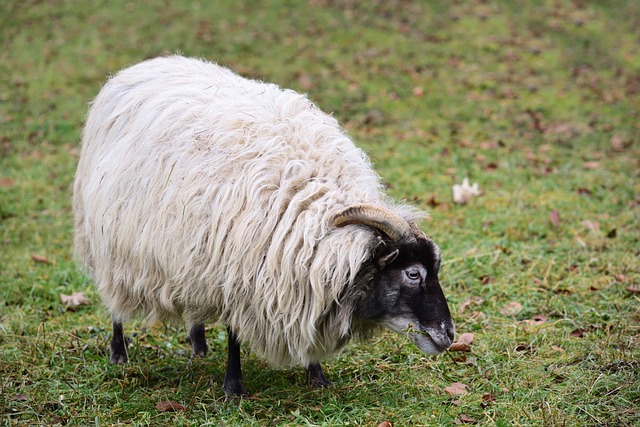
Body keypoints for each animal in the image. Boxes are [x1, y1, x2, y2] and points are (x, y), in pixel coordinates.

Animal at [75, 56, 456, 398]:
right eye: (413, 274)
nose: (450, 335)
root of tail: (143, 65)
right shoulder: (238, 271)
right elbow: (233, 332)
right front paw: (234, 388)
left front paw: (316, 376)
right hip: (106, 238)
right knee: (113, 300)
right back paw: (119, 352)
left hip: (189, 251)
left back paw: (199, 345)